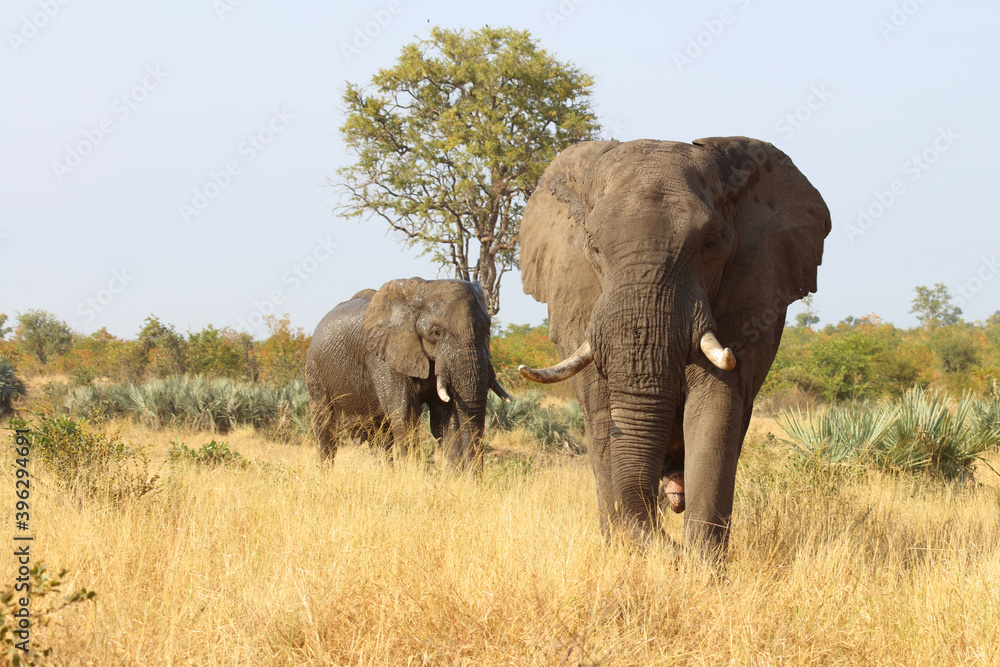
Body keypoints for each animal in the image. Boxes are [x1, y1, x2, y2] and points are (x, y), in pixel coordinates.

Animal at [302, 276, 508, 470]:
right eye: (435, 332)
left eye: (488, 331)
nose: (475, 479)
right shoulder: (383, 357)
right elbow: (405, 414)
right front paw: (412, 474)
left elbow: (446, 418)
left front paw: (452, 477)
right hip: (315, 373)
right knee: (325, 431)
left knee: (381, 436)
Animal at [516, 136, 828, 552]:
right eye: (593, 246)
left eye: (710, 243)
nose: (673, 549)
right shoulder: (577, 298)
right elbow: (601, 411)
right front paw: (629, 553)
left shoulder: (750, 291)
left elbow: (716, 408)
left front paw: (701, 563)